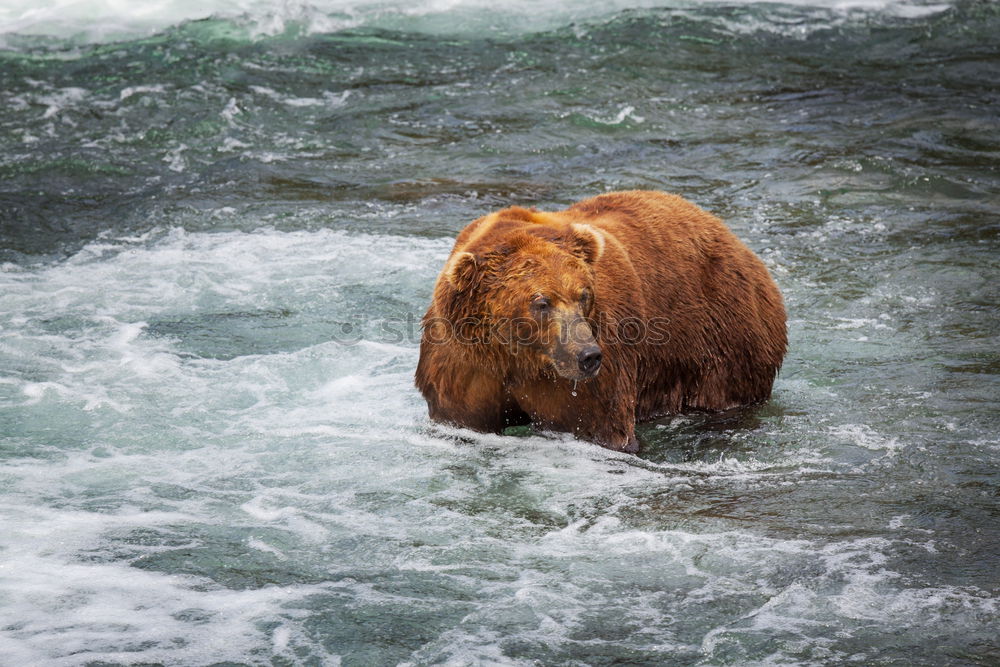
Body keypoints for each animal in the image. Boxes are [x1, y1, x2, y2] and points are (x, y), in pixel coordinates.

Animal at [410, 190, 784, 456]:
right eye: (541, 302)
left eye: (583, 295)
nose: (588, 355)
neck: (516, 356)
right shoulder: (464, 360)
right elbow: (459, 414)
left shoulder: (594, 369)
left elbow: (599, 426)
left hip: (722, 332)